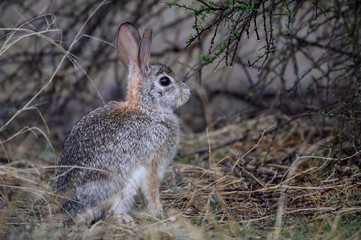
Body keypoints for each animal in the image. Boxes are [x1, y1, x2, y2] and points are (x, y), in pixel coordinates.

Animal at [54, 22, 190, 225]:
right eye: (165, 81)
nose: (187, 92)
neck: (146, 108)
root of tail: (71, 210)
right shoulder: (152, 168)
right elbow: (152, 193)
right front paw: (159, 213)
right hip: (120, 187)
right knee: (106, 215)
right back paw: (126, 220)